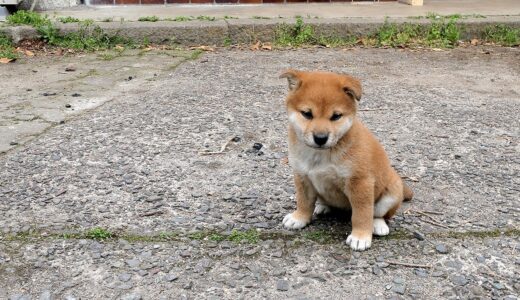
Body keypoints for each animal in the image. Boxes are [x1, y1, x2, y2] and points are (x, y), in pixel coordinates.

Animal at [278, 69, 412, 251]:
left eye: (336, 116)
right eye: (307, 114)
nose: (321, 138)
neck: (321, 155)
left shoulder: (360, 182)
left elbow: (362, 214)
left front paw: (360, 236)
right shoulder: (302, 176)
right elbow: (304, 202)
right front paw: (299, 218)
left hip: (390, 194)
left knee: (378, 214)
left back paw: (378, 225)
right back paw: (323, 206)